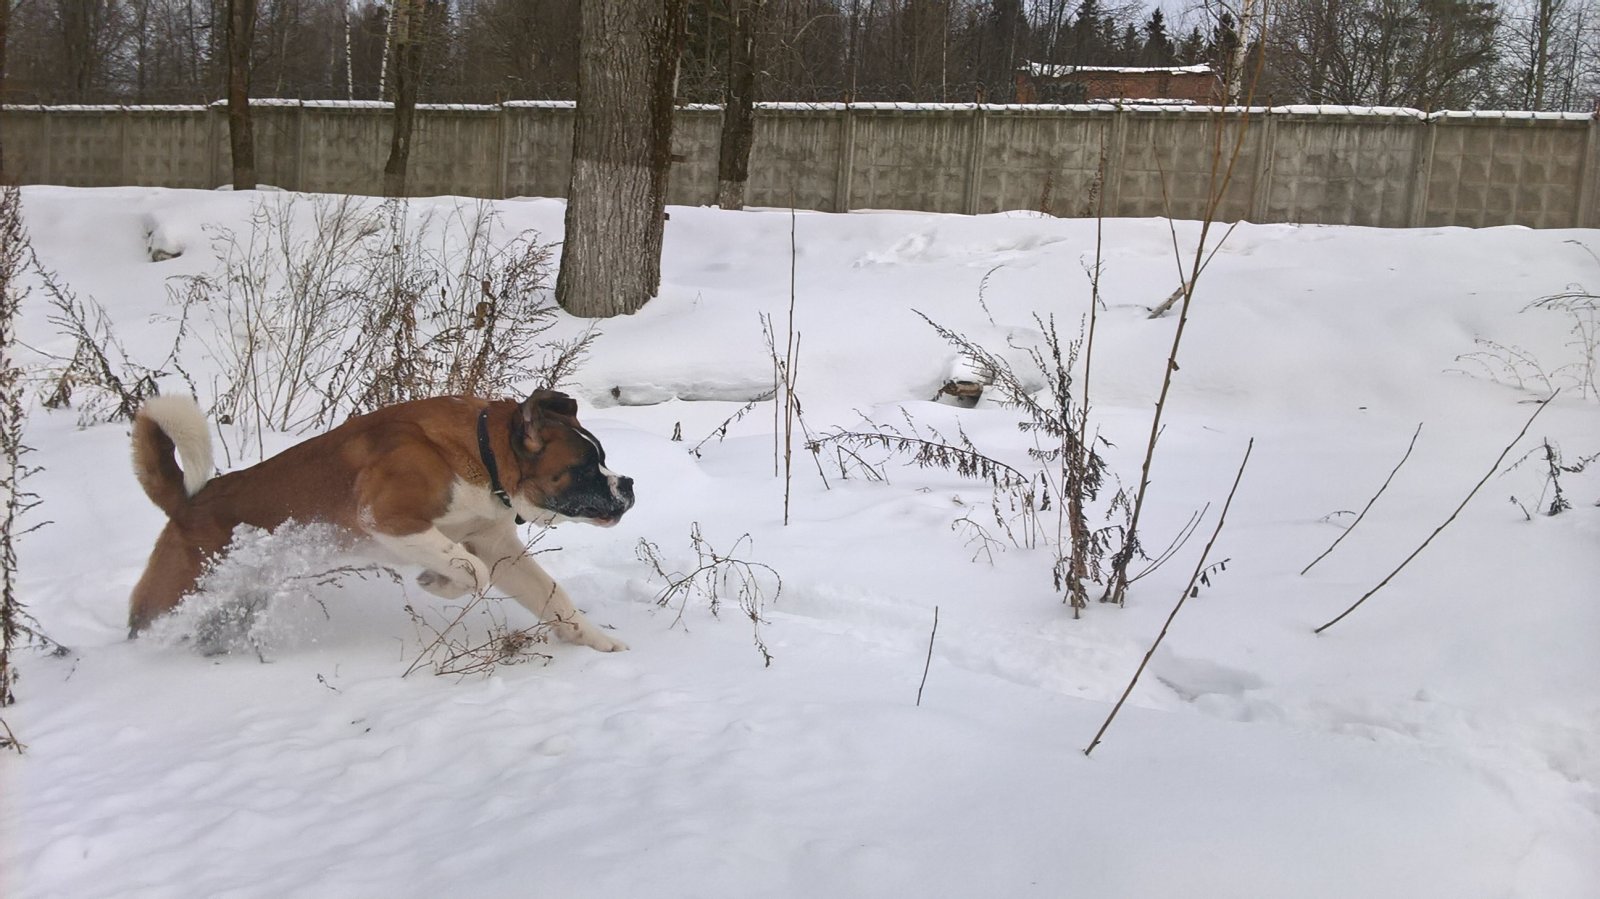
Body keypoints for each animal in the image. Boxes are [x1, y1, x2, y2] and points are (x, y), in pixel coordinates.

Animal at [124, 388, 630, 646]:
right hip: (174, 594)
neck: (481, 452)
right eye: (584, 468)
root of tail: (187, 503)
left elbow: (550, 595)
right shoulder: (387, 517)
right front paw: (439, 582)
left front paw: (594, 640)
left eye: (603, 458)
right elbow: (472, 571)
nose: (628, 485)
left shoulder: (496, 543)